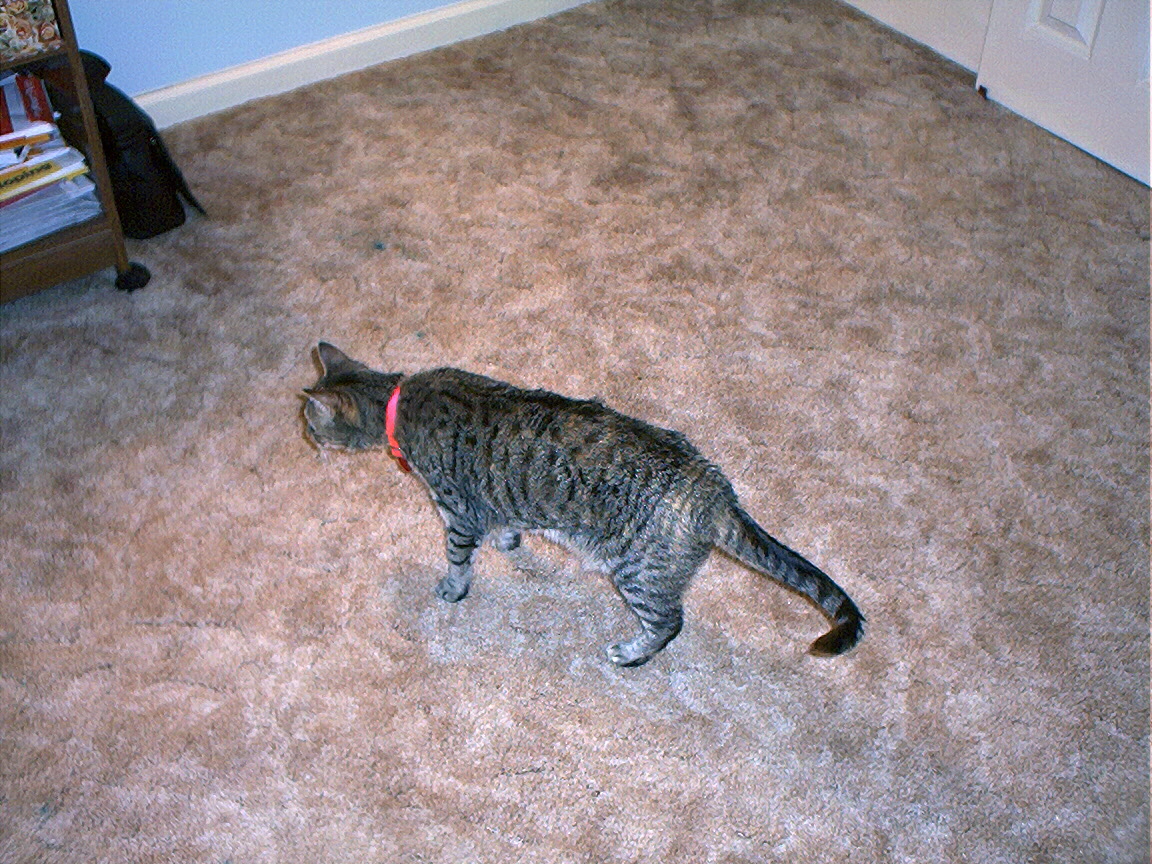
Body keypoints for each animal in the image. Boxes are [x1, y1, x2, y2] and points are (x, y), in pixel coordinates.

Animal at [303, 342, 864, 667]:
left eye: (310, 423)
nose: (306, 436)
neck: (398, 401)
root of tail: (713, 486)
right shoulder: (488, 506)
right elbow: (503, 525)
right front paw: (508, 541)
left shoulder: (456, 512)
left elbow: (459, 561)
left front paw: (453, 587)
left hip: (639, 575)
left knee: (669, 623)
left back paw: (631, 654)